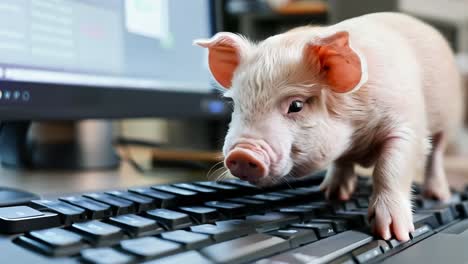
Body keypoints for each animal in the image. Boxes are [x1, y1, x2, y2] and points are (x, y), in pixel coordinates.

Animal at [195, 12, 464, 241]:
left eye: (296, 105)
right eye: (234, 104)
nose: (242, 153)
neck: (357, 136)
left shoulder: (407, 125)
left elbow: (390, 168)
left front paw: (392, 234)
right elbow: (341, 161)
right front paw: (330, 195)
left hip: (448, 118)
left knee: (436, 154)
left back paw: (437, 195)